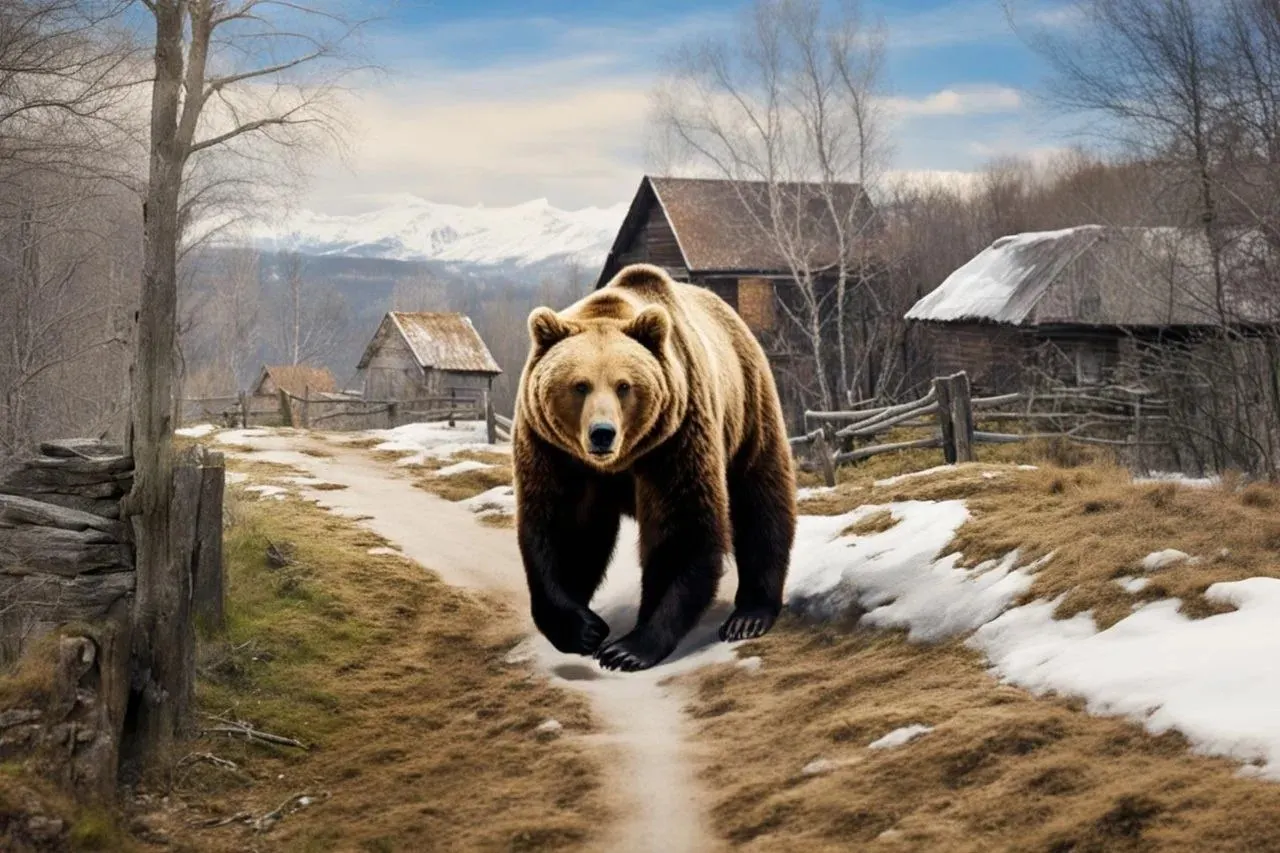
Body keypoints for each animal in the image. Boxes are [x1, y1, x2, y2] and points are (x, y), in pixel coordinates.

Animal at [513, 262, 796, 672]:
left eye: (624, 385)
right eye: (580, 385)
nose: (602, 433)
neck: (620, 461)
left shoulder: (677, 436)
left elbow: (682, 527)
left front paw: (627, 648)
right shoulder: (553, 450)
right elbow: (563, 526)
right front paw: (583, 628)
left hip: (748, 405)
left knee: (760, 499)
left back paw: (749, 615)